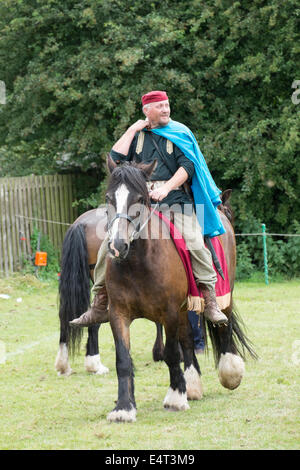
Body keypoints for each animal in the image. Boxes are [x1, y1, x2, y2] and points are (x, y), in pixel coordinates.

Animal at [55, 157, 255, 422]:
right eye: (109, 198)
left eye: (140, 198)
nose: (117, 245)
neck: (139, 261)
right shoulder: (119, 313)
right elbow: (123, 358)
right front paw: (124, 406)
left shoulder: (169, 311)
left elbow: (172, 352)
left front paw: (175, 396)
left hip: (224, 293)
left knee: (224, 323)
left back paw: (228, 371)